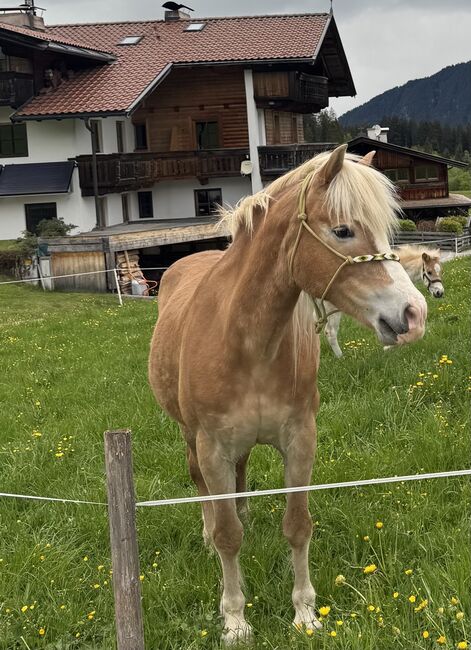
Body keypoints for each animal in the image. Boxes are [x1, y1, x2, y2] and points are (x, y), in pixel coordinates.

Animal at [148, 145, 427, 644]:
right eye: (343, 230)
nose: (414, 314)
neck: (246, 340)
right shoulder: (212, 446)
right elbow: (228, 536)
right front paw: (235, 620)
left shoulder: (300, 440)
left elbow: (297, 526)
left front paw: (305, 613)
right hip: (189, 436)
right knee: (202, 489)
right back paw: (208, 532)